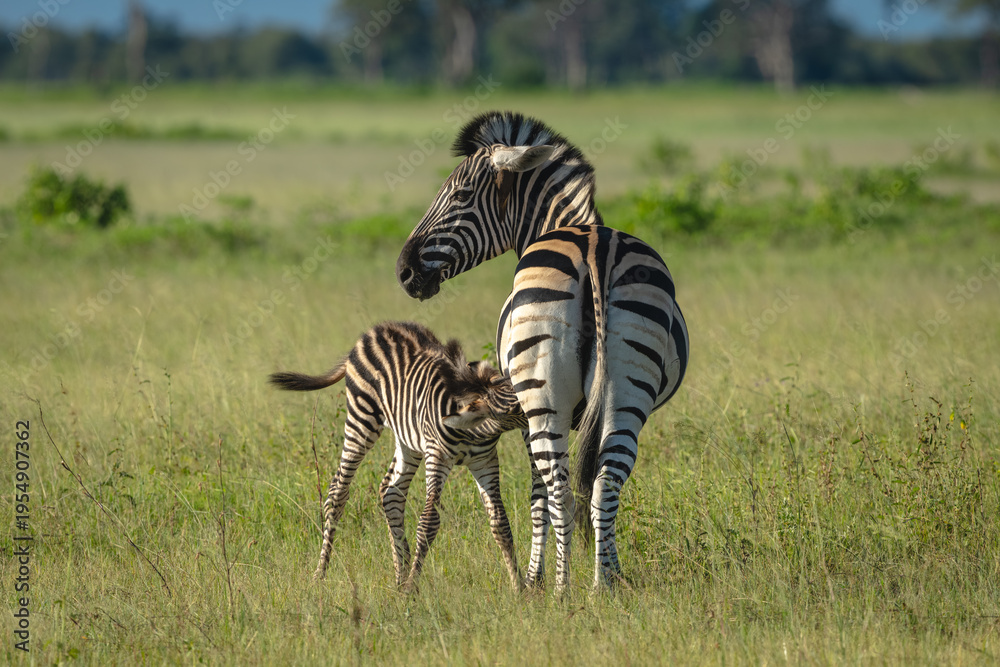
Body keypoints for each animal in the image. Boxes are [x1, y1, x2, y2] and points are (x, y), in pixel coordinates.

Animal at [269, 321, 528, 592]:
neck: (474, 431)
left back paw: (398, 576)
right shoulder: (437, 456)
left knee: (390, 492)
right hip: (361, 419)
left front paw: (518, 587)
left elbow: (500, 521)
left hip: (407, 439)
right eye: (516, 408)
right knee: (337, 492)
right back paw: (321, 572)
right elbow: (429, 522)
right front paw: (412, 588)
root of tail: (374, 330)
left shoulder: (484, 460)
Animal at [395, 111, 689, 592]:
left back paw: (563, 588)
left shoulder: (522, 414)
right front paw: (608, 567)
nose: (404, 272)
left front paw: (534, 579)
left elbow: (538, 497)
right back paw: (603, 585)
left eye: (459, 194)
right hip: (629, 395)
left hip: (542, 398)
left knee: (558, 490)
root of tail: (596, 248)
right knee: (606, 483)